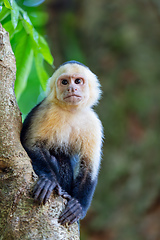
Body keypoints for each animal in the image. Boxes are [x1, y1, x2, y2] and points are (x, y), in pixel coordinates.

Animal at [20, 60, 103, 225]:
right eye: (64, 82)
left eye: (78, 81)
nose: (71, 88)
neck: (71, 111)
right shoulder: (46, 110)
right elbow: (31, 144)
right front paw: (48, 180)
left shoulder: (93, 123)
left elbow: (88, 168)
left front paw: (79, 206)